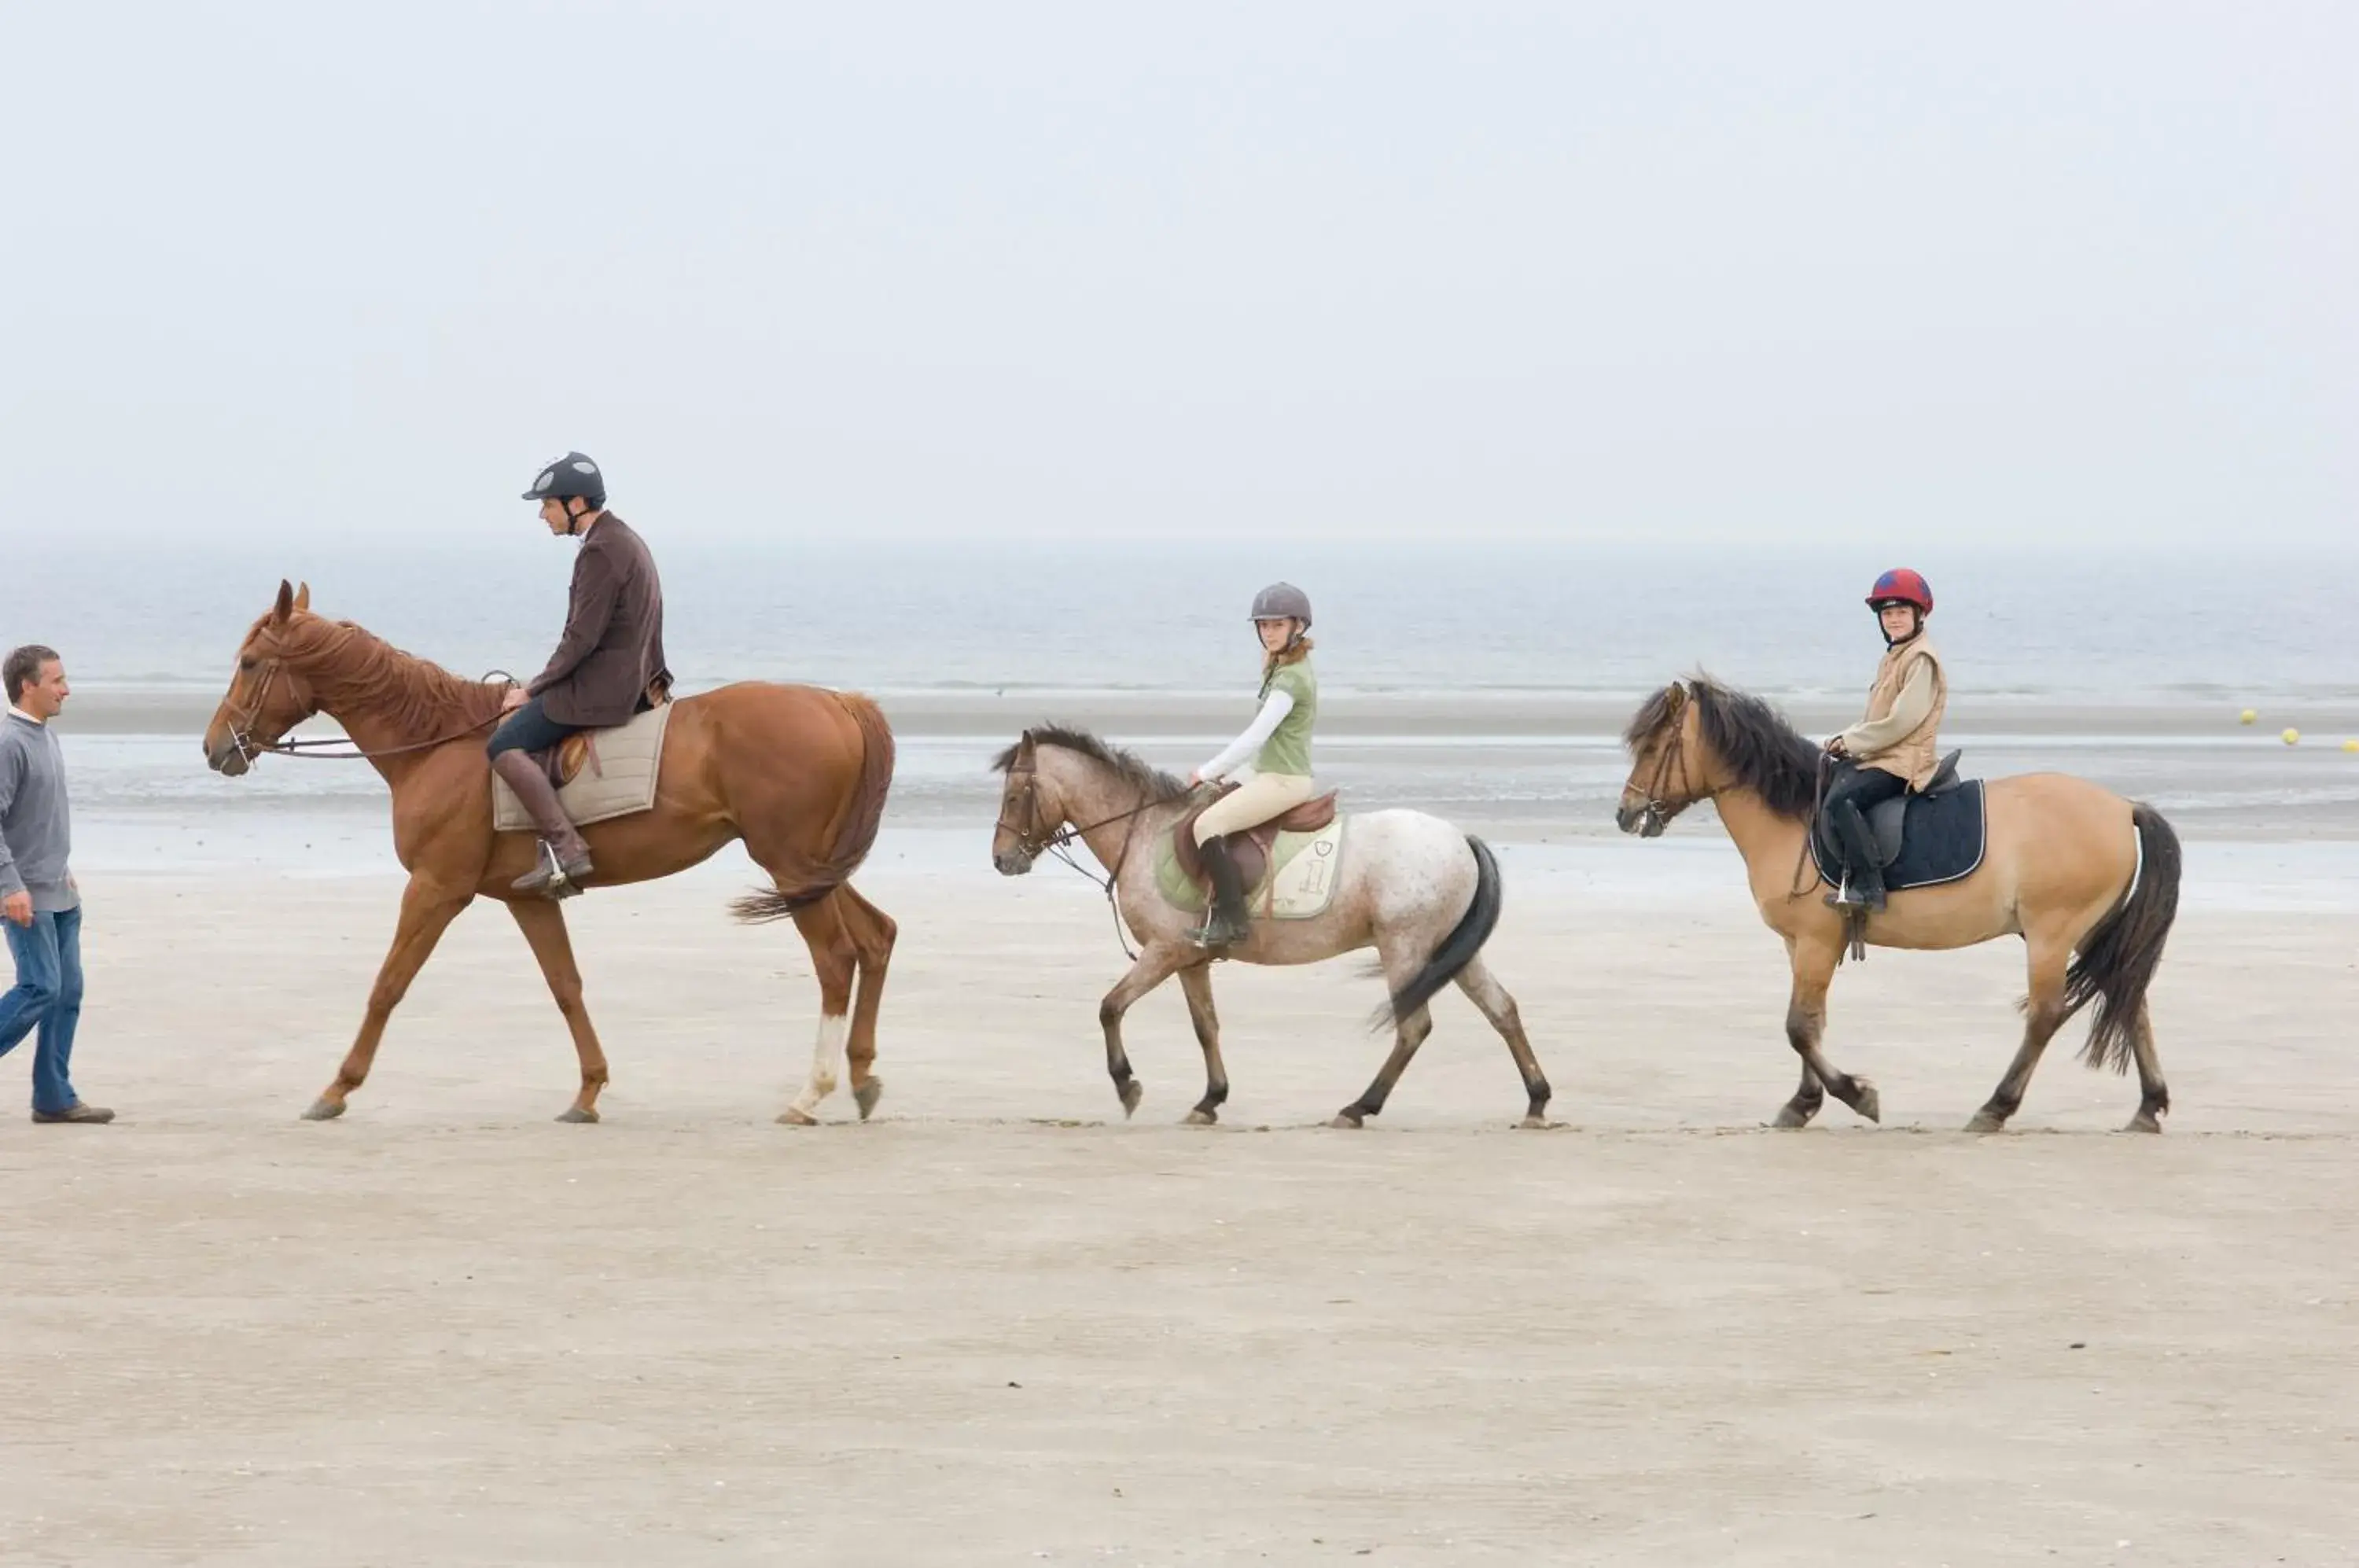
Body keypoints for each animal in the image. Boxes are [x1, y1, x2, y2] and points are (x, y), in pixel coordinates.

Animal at [203, 580, 896, 1117]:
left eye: (250, 663)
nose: (213, 748)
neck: (438, 744)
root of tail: (840, 704)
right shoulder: (526, 900)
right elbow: (566, 986)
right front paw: (588, 1093)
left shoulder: (436, 888)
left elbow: (389, 984)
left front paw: (336, 1089)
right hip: (811, 869)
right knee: (876, 938)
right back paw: (862, 1077)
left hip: (789, 865)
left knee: (836, 959)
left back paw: (810, 1095)